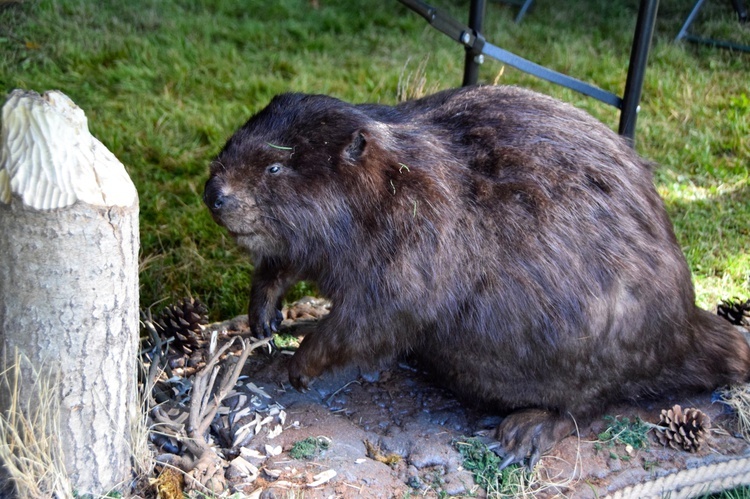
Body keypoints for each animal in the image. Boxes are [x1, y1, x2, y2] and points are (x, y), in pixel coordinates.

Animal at [206, 86, 750, 468]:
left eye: (275, 167)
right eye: (229, 142)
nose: (214, 193)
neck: (391, 180)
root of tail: (689, 328)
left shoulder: (422, 230)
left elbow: (377, 317)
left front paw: (300, 364)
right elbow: (288, 260)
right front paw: (264, 316)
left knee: (592, 406)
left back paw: (522, 432)